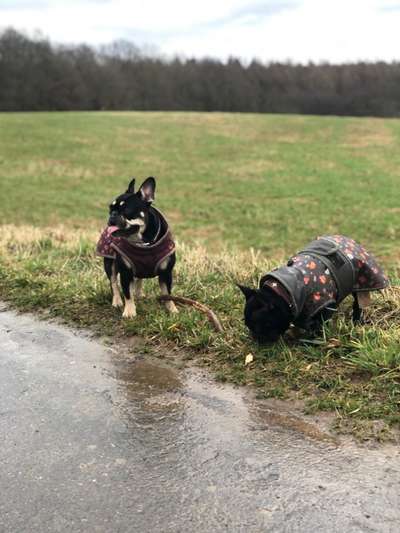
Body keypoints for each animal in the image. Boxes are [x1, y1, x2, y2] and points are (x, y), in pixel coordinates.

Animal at [96, 177, 177, 318]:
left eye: (126, 210)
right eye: (110, 208)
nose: (112, 215)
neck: (143, 243)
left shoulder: (166, 273)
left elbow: (168, 293)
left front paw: (172, 309)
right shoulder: (126, 273)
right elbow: (127, 293)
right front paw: (129, 311)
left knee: (139, 278)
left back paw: (139, 294)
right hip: (110, 263)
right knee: (113, 282)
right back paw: (117, 301)